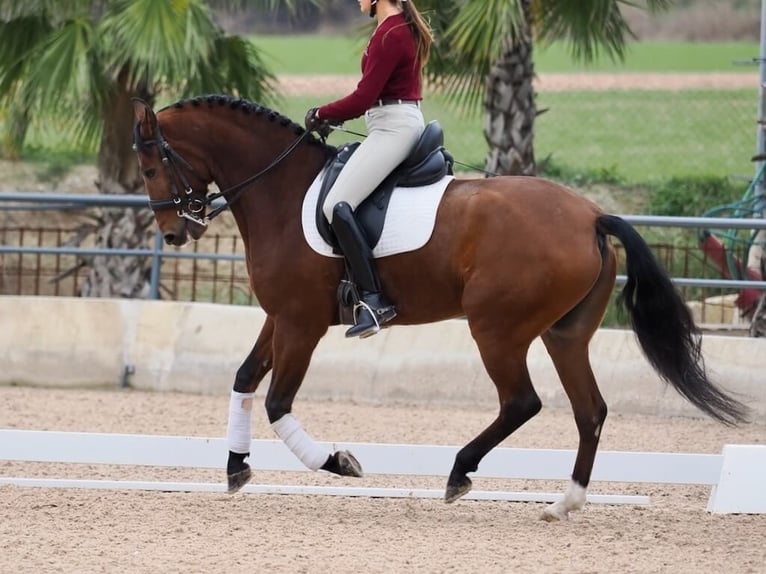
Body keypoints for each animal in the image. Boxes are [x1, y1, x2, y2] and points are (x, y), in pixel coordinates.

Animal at [132, 95, 752, 520]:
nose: (175, 233)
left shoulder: (302, 324)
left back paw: (459, 472)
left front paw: (337, 462)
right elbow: (243, 379)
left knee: (522, 402)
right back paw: (565, 503)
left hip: (495, 328)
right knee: (590, 410)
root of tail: (591, 215)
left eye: (150, 168)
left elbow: (278, 402)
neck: (281, 192)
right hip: (563, 335)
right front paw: (236, 467)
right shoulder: (280, 317)